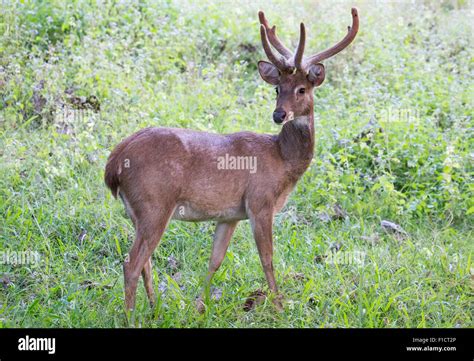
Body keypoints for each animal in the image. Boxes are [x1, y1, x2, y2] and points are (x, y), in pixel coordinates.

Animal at [104, 8, 360, 312]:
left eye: (301, 89)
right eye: (277, 89)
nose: (279, 115)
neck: (282, 160)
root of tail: (113, 165)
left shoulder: (230, 215)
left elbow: (215, 260)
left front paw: (199, 306)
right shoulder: (260, 201)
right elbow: (267, 258)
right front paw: (278, 306)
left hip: (137, 211)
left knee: (145, 262)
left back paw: (155, 308)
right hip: (154, 202)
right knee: (131, 263)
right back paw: (131, 315)